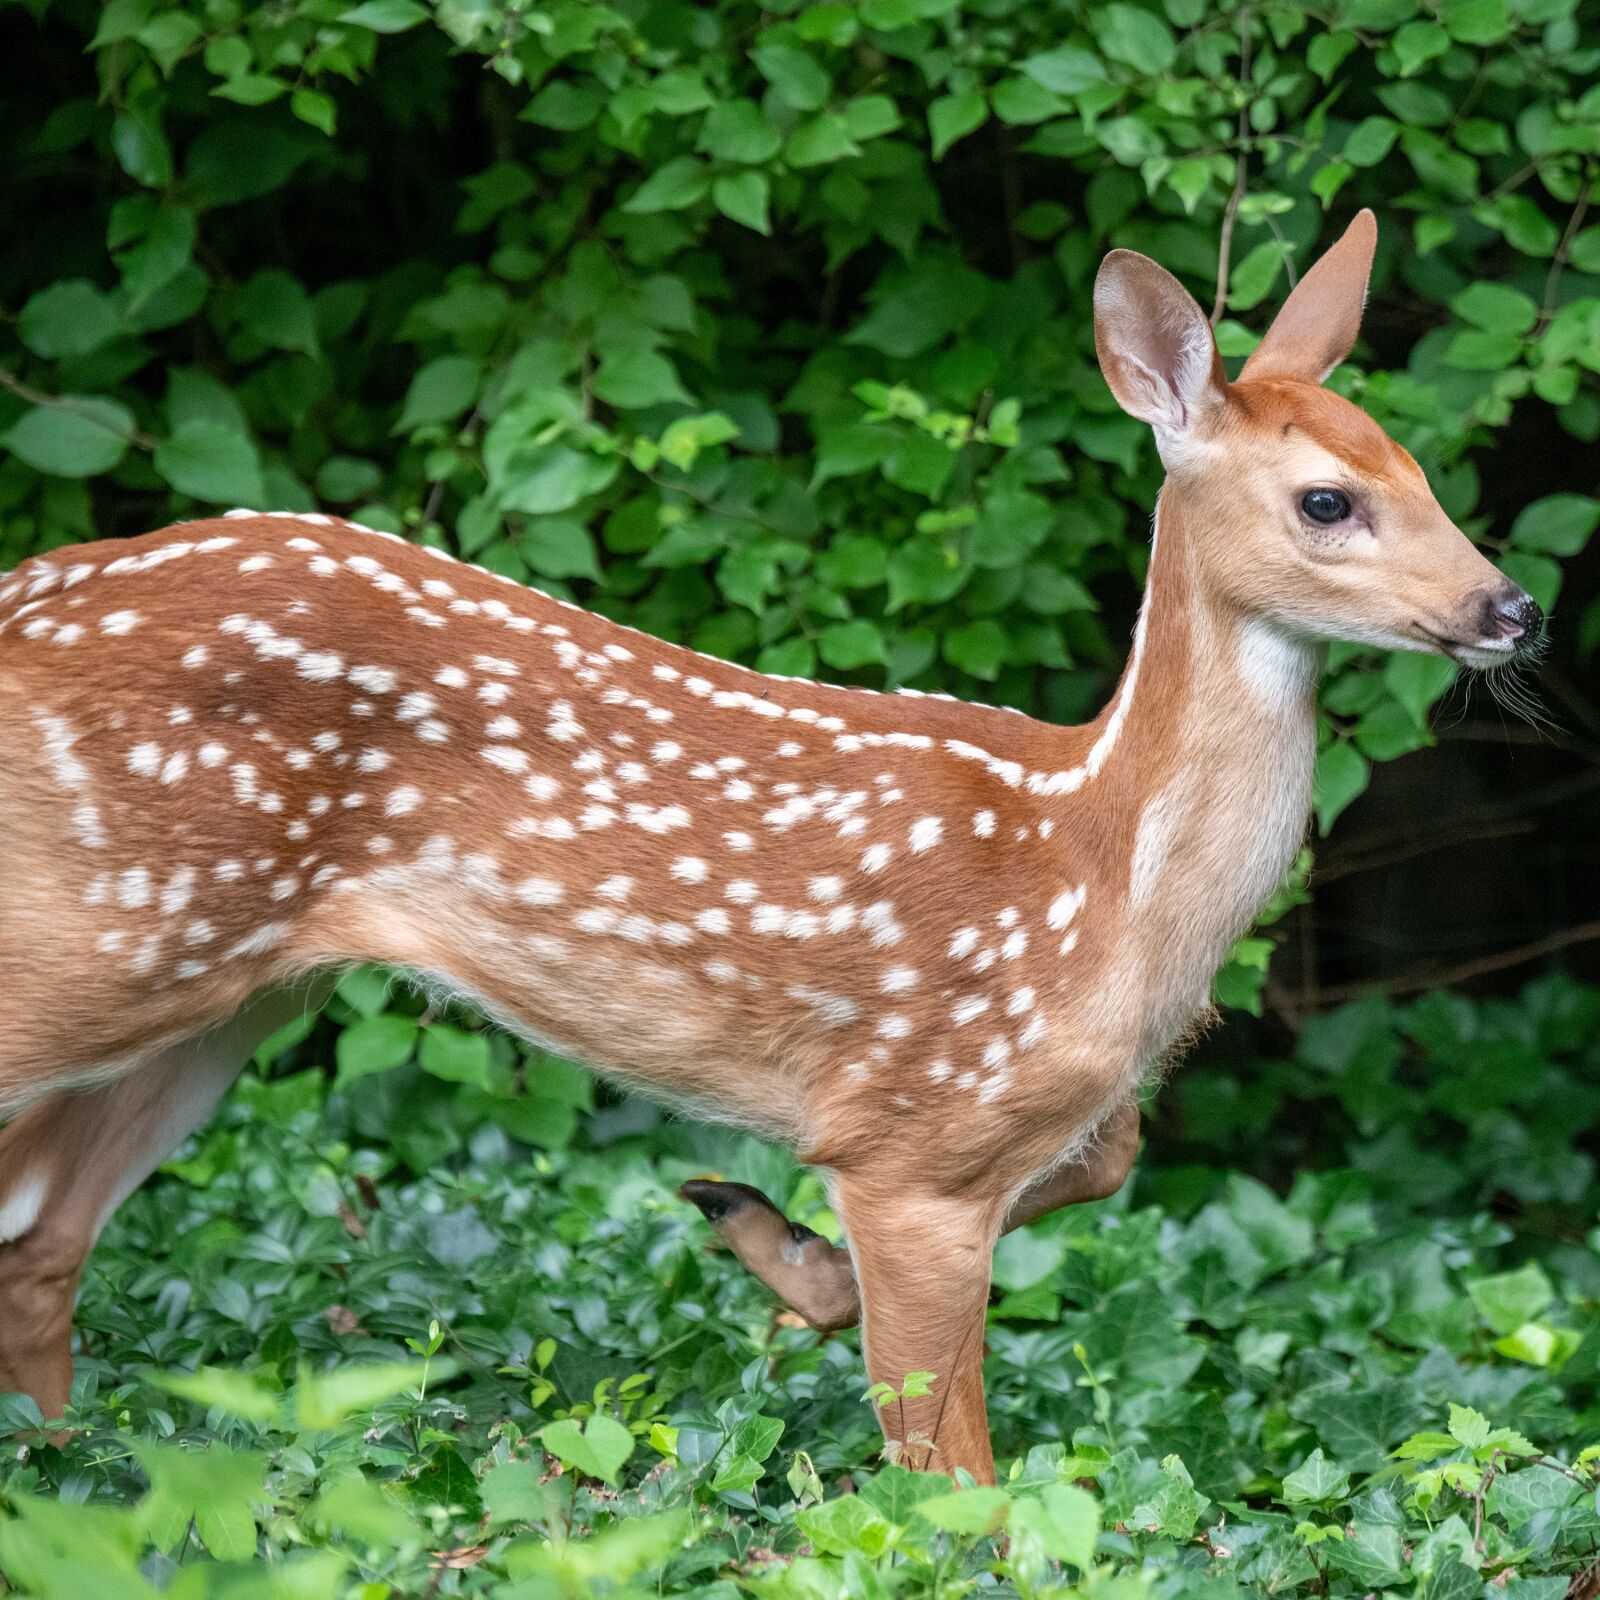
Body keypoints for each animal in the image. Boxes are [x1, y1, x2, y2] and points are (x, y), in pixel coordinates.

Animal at [3, 209, 1548, 1472]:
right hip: (106, 924)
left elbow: (1094, 1170)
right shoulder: (919, 1129)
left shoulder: (999, 1132)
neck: (1104, 877)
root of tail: (29, 591)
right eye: (1327, 501)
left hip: (236, 987)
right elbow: (956, 1486)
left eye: (1421, 467)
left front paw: (758, 1232)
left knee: (44, 1234)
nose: (1510, 608)